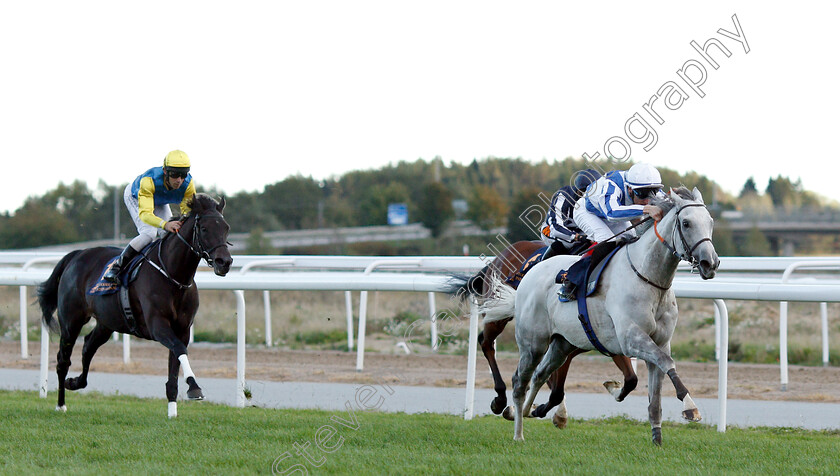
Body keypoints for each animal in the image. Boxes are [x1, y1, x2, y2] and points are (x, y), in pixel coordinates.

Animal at [38, 192, 231, 416]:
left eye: (226, 227)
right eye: (204, 228)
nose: (224, 262)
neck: (173, 276)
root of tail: (77, 254)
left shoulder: (182, 329)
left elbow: (175, 363)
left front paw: (173, 412)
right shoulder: (157, 326)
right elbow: (179, 349)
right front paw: (194, 387)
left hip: (106, 322)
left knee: (88, 346)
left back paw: (75, 382)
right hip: (71, 321)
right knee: (63, 360)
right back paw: (61, 404)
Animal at [452, 238, 636, 428]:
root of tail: (499, 257)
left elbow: (631, 379)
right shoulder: (564, 344)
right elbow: (556, 391)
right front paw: (539, 411)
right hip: (498, 315)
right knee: (486, 342)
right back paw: (500, 399)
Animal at [482, 187, 720, 446]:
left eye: (710, 222)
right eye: (686, 223)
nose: (710, 263)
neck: (647, 276)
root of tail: (527, 275)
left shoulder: (660, 342)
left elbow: (654, 394)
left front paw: (656, 438)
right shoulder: (630, 338)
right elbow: (666, 364)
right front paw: (690, 407)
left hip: (562, 344)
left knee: (539, 375)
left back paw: (524, 411)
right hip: (532, 343)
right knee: (517, 379)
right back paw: (517, 430)